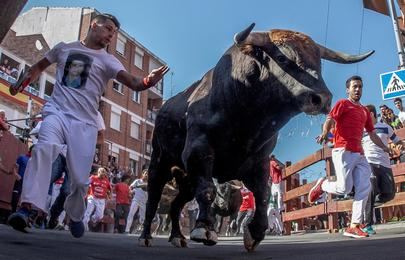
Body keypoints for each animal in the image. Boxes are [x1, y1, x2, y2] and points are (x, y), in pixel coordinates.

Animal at [139, 23, 372, 251]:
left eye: (319, 62)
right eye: (282, 58)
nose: (322, 98)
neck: (247, 119)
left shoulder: (259, 162)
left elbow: (263, 194)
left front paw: (255, 233)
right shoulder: (198, 151)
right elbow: (207, 190)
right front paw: (204, 228)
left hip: (185, 177)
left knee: (176, 205)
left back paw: (177, 237)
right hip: (159, 163)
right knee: (153, 199)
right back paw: (146, 236)